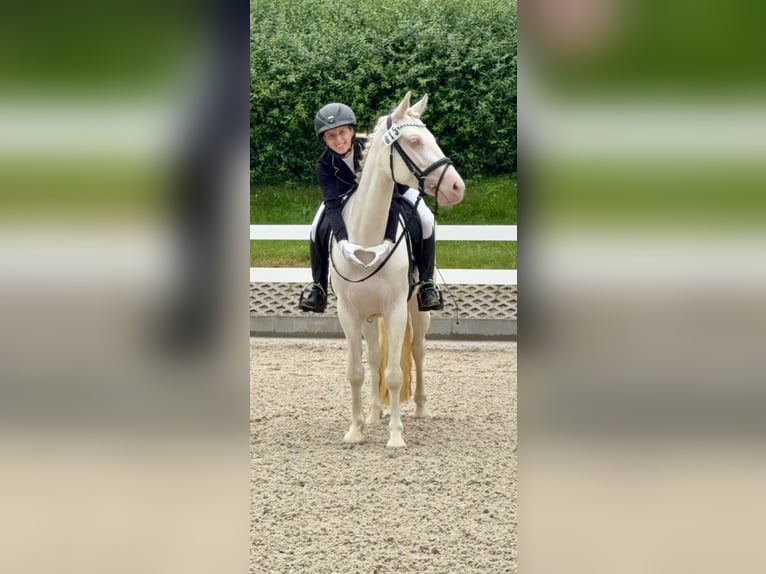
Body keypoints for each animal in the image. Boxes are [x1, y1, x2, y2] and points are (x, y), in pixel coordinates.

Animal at [329, 91, 465, 448]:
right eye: (415, 141)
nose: (456, 187)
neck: (367, 240)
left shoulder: (395, 311)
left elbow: (393, 375)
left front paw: (395, 435)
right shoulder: (349, 314)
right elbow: (357, 372)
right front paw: (355, 430)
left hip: (417, 312)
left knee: (417, 353)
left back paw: (418, 410)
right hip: (369, 318)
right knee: (376, 358)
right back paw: (374, 414)